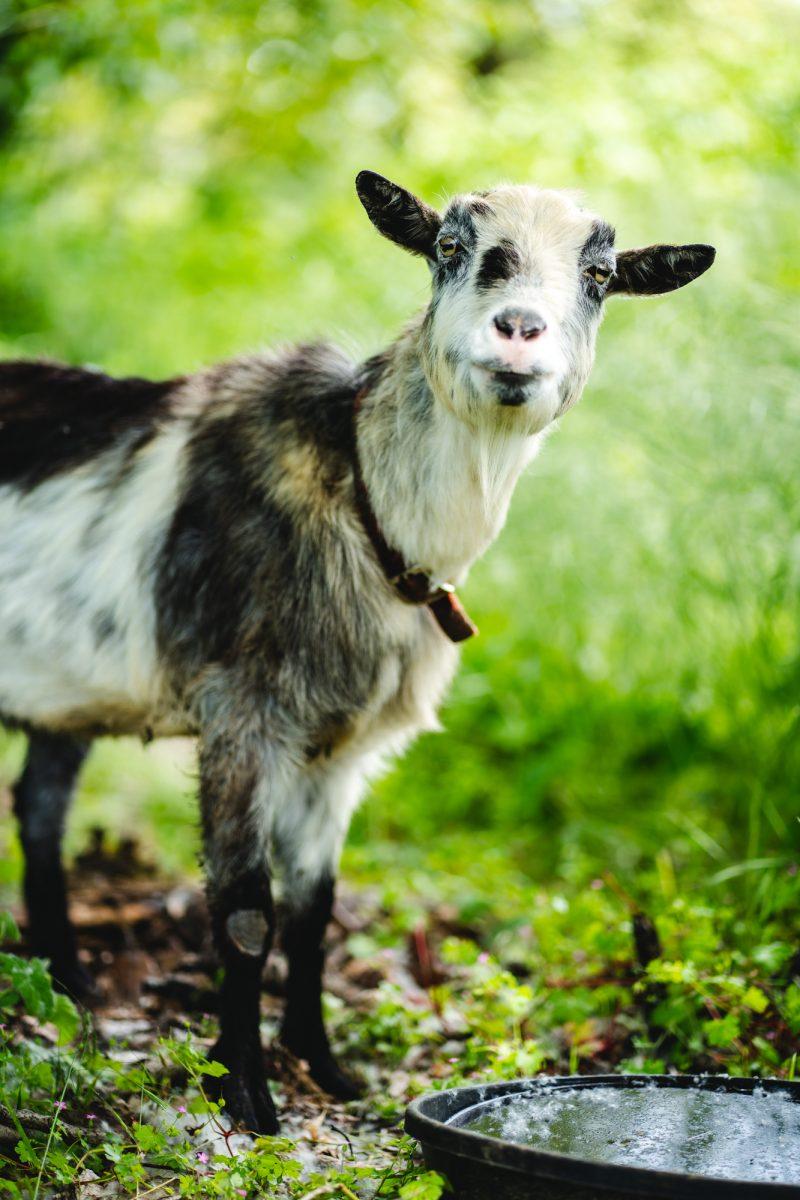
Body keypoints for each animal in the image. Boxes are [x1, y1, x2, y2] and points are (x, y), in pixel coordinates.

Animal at [0, 174, 714, 1128]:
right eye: (448, 247)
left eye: (599, 274)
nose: (519, 329)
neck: (366, 503)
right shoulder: (243, 715)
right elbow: (247, 916)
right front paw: (248, 1096)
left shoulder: (339, 750)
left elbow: (314, 913)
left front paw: (326, 1068)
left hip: (66, 695)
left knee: (40, 809)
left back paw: (69, 981)